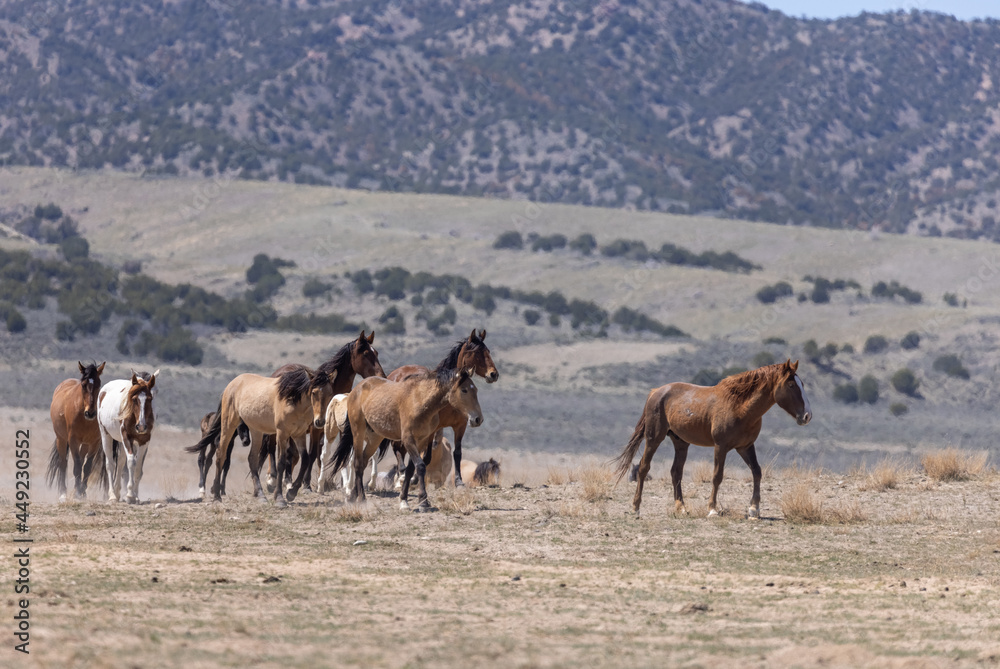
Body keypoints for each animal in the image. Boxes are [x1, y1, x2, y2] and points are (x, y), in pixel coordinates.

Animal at [47, 360, 107, 500]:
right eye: (84, 385)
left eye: (99, 384)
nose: (90, 413)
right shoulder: (73, 441)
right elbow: (77, 467)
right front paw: (78, 492)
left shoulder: (94, 442)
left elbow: (87, 467)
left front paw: (82, 491)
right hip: (61, 439)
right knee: (63, 463)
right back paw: (63, 492)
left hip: (84, 444)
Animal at [99, 370, 161, 500]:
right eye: (134, 398)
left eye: (150, 398)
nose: (141, 426)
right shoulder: (127, 437)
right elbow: (131, 462)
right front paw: (130, 494)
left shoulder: (144, 441)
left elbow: (138, 467)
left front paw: (135, 496)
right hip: (106, 435)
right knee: (110, 464)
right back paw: (112, 495)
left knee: (121, 461)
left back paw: (117, 492)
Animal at [330, 368, 482, 508]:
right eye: (464, 390)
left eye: (475, 389)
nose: (478, 419)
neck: (420, 401)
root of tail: (357, 389)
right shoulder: (408, 439)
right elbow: (420, 466)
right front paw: (423, 501)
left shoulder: (421, 441)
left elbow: (410, 470)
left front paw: (404, 499)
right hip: (358, 432)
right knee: (357, 462)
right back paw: (361, 498)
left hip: (375, 437)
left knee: (362, 462)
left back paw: (352, 496)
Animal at [384, 328, 498, 486]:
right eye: (477, 353)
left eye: (488, 351)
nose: (493, 374)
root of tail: (394, 374)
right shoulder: (433, 430)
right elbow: (426, 457)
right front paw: (414, 478)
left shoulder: (460, 426)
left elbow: (457, 453)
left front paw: (459, 482)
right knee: (397, 448)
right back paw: (401, 474)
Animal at [612, 360, 816, 516]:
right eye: (791, 385)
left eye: (803, 384)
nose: (807, 416)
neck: (740, 407)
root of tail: (655, 392)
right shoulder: (721, 446)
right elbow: (717, 476)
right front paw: (712, 509)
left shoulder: (746, 446)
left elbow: (757, 472)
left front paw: (754, 509)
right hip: (654, 438)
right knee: (643, 468)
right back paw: (636, 508)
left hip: (681, 443)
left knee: (676, 472)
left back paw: (681, 508)